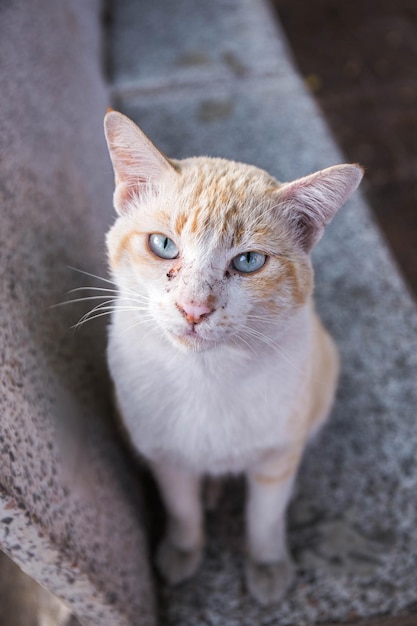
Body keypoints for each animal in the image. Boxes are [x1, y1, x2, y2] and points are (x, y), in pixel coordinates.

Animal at [103, 108, 360, 604]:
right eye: (163, 245)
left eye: (248, 262)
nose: (194, 308)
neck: (206, 375)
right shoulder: (165, 457)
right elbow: (181, 510)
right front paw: (183, 552)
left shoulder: (278, 455)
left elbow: (265, 517)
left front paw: (268, 566)